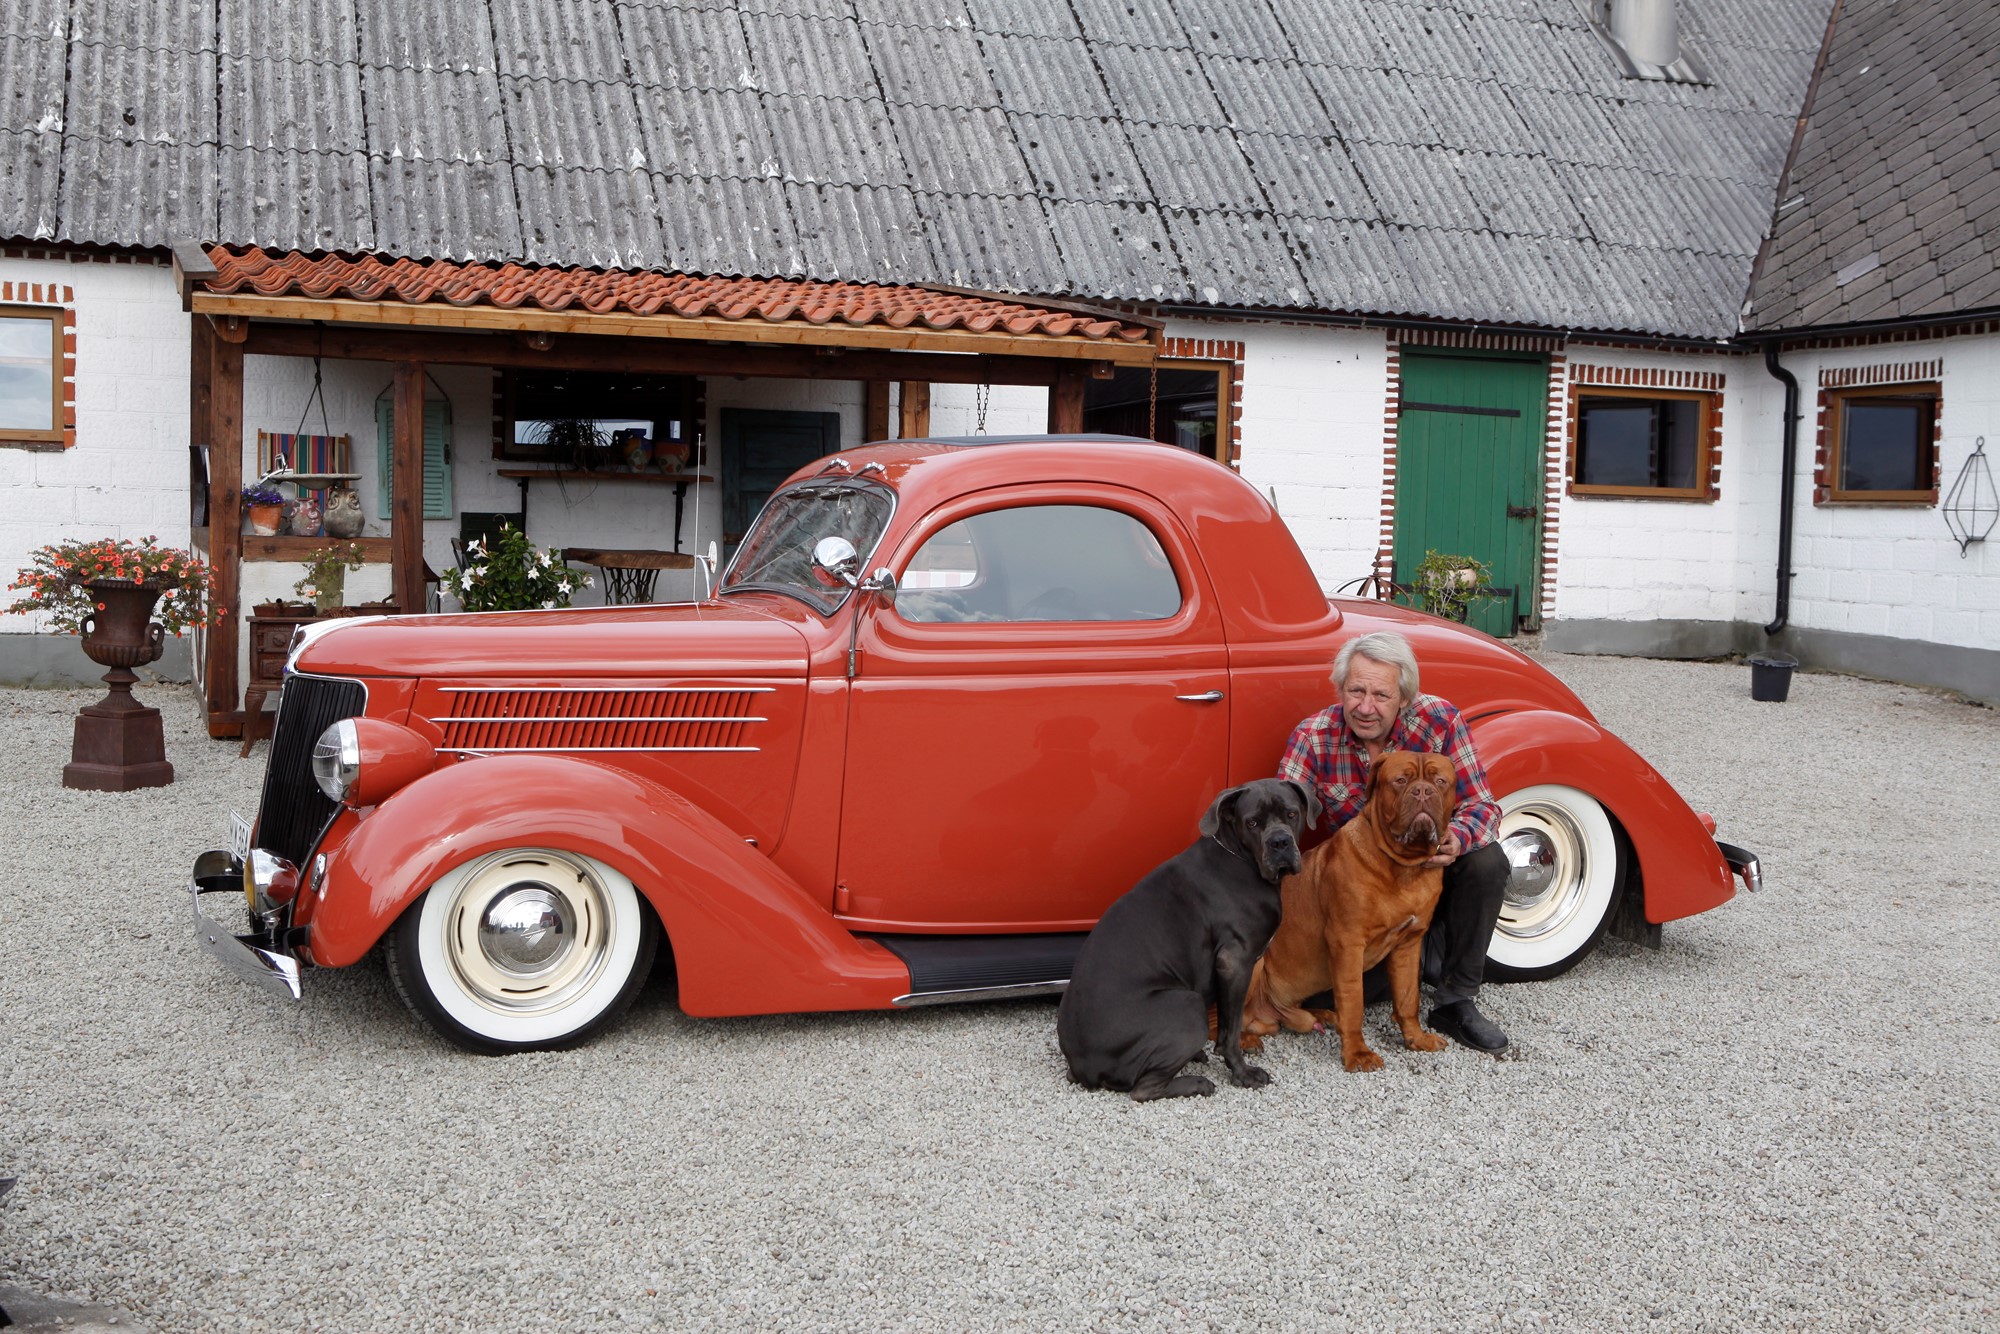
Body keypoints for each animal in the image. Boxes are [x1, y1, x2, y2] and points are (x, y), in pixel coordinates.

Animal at [1056, 776, 1320, 1104]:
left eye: (1291, 814)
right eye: (1252, 822)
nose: (1280, 842)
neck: (1239, 856)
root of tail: (1083, 1066)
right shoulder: (1235, 962)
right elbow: (1231, 1030)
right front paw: (1243, 1074)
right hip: (1187, 1005)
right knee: (1143, 1089)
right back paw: (1197, 1083)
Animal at [1240, 752, 1464, 1072]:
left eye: (1440, 781)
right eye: (1401, 780)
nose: (1423, 791)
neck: (1404, 868)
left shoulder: (1409, 944)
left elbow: (1408, 998)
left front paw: (1416, 1038)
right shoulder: (1347, 942)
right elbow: (1353, 1000)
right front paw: (1357, 1053)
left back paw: (1318, 1015)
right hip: (1253, 963)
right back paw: (1244, 1040)